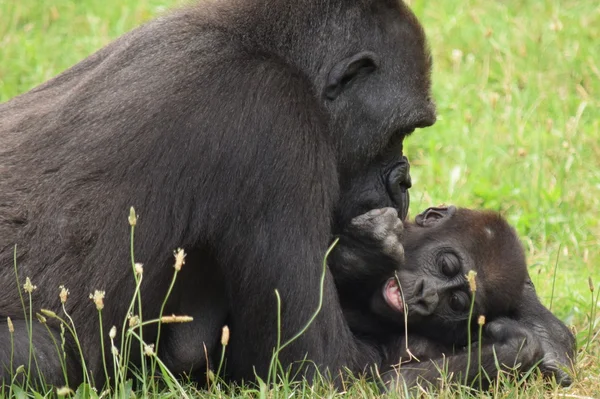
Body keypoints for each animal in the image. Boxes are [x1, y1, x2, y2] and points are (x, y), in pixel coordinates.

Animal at [0, 0, 434, 388]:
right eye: (400, 131)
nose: (404, 182)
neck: (270, 48)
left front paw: (358, 253)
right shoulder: (276, 120)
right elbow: (323, 366)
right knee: (41, 354)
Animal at [330, 206, 540, 388]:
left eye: (456, 302)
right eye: (447, 265)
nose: (425, 296)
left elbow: (398, 383)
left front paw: (516, 346)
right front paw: (363, 251)